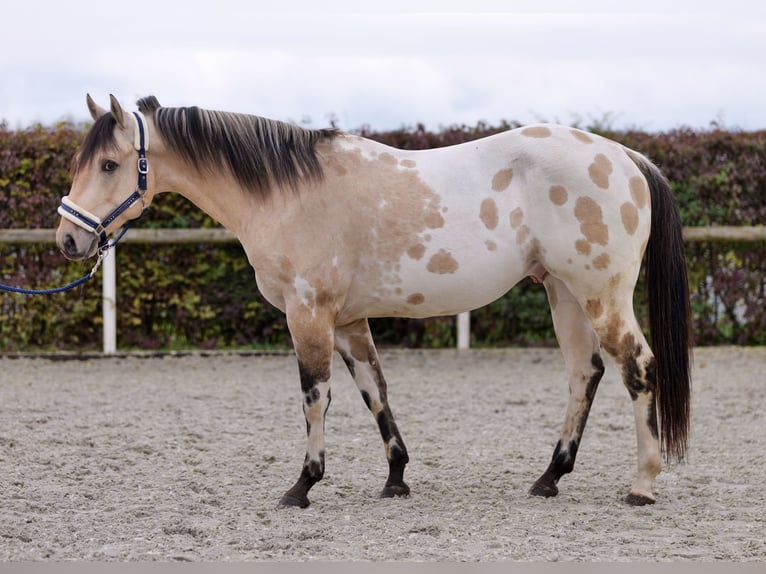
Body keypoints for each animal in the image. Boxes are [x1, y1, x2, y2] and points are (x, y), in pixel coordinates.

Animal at [55, 94, 696, 508]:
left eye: (109, 164)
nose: (68, 239)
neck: (287, 191)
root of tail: (624, 157)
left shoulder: (308, 314)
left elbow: (316, 397)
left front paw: (303, 485)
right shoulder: (348, 321)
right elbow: (374, 391)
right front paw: (396, 478)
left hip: (600, 295)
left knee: (638, 368)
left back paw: (642, 485)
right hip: (563, 293)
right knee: (584, 374)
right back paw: (549, 478)